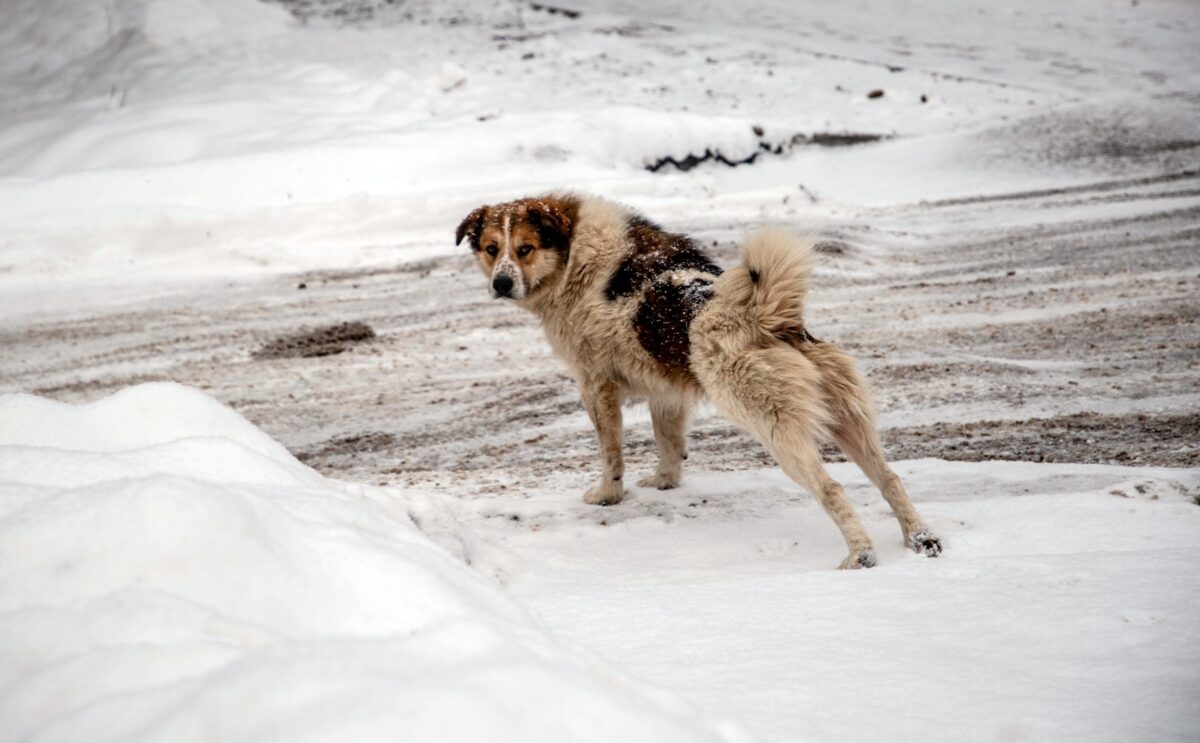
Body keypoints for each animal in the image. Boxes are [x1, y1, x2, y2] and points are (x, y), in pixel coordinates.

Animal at [453, 193, 940, 568]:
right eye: (492, 248)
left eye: (526, 248)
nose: (500, 283)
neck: (574, 254)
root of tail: (768, 319)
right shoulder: (666, 390)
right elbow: (668, 444)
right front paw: (665, 484)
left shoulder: (595, 386)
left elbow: (612, 454)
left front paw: (609, 495)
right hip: (847, 420)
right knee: (889, 477)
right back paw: (920, 538)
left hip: (777, 430)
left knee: (832, 488)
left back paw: (860, 555)